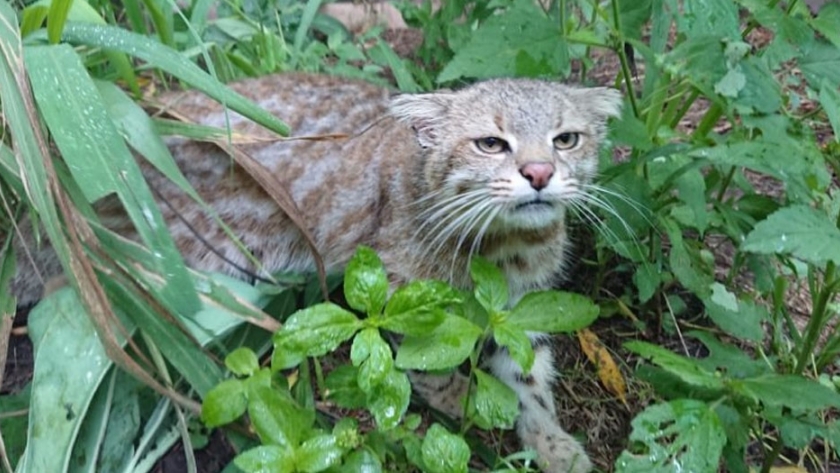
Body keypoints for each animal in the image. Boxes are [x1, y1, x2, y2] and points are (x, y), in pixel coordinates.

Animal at [9, 72, 620, 470]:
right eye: (491, 143)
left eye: (566, 139)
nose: (539, 173)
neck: (506, 245)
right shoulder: (399, 285)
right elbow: (422, 355)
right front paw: (456, 398)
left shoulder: (521, 307)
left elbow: (530, 378)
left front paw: (551, 441)